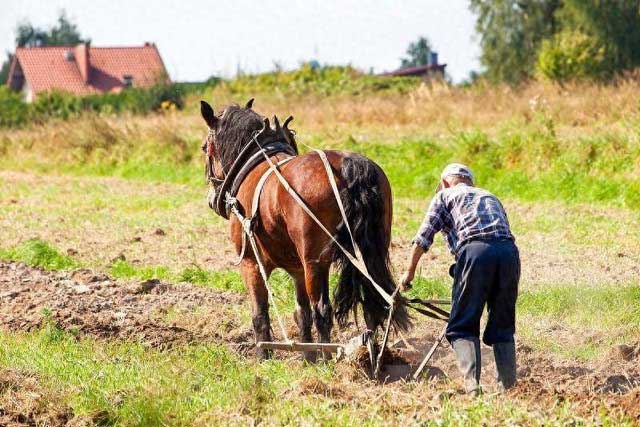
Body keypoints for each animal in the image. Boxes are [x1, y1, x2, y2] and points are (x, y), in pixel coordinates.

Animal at [200, 98, 410, 360]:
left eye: (204, 148)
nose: (212, 198)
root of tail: (348, 166)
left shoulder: (251, 263)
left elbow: (260, 314)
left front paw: (264, 357)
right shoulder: (296, 269)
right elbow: (301, 313)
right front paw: (307, 357)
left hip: (315, 263)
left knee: (322, 310)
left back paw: (328, 358)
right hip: (368, 253)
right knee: (371, 300)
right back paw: (372, 352)